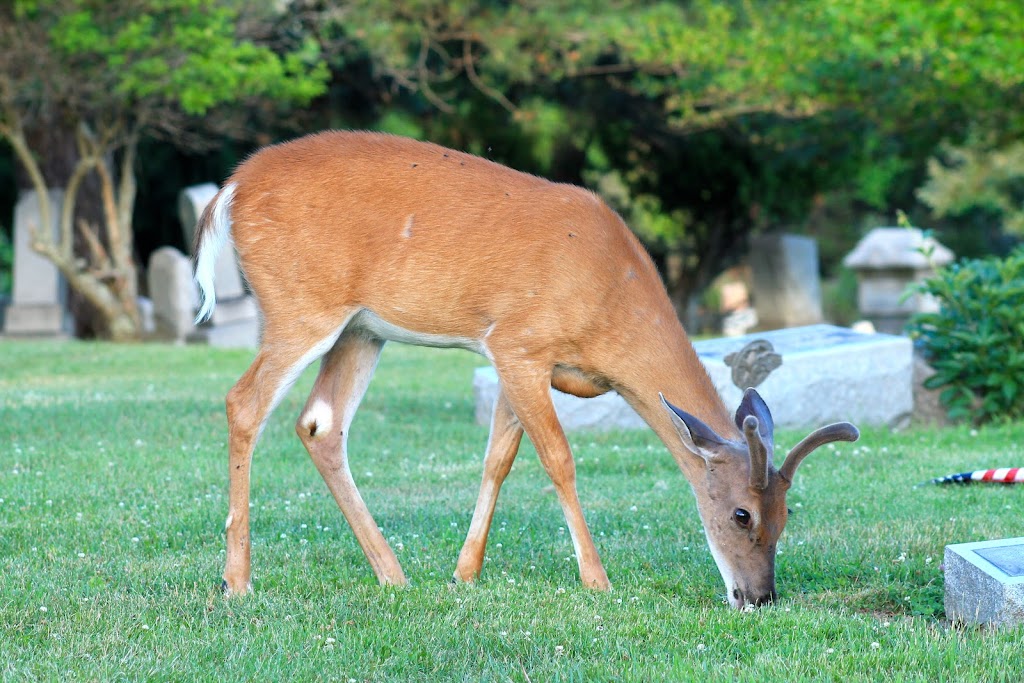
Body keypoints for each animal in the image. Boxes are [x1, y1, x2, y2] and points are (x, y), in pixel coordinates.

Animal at [190, 127, 856, 610]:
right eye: (742, 513)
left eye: (787, 514)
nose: (760, 597)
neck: (611, 300)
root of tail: (229, 189)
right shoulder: (520, 342)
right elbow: (558, 459)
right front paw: (596, 580)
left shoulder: (517, 358)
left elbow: (499, 459)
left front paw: (464, 573)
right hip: (301, 306)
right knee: (243, 402)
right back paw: (238, 581)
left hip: (360, 329)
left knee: (321, 424)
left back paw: (393, 574)